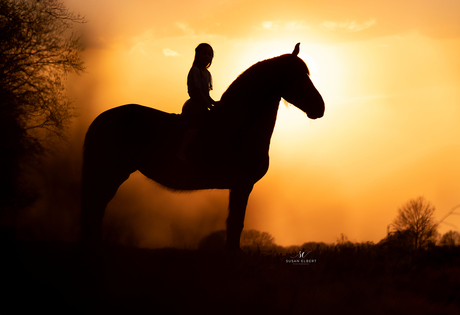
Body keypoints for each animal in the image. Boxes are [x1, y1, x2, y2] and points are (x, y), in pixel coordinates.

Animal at [80, 43, 324, 252]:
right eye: (296, 76)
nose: (320, 107)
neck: (237, 126)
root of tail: (101, 118)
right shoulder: (242, 185)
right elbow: (236, 223)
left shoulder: (240, 186)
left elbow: (235, 223)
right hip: (112, 172)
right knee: (95, 204)